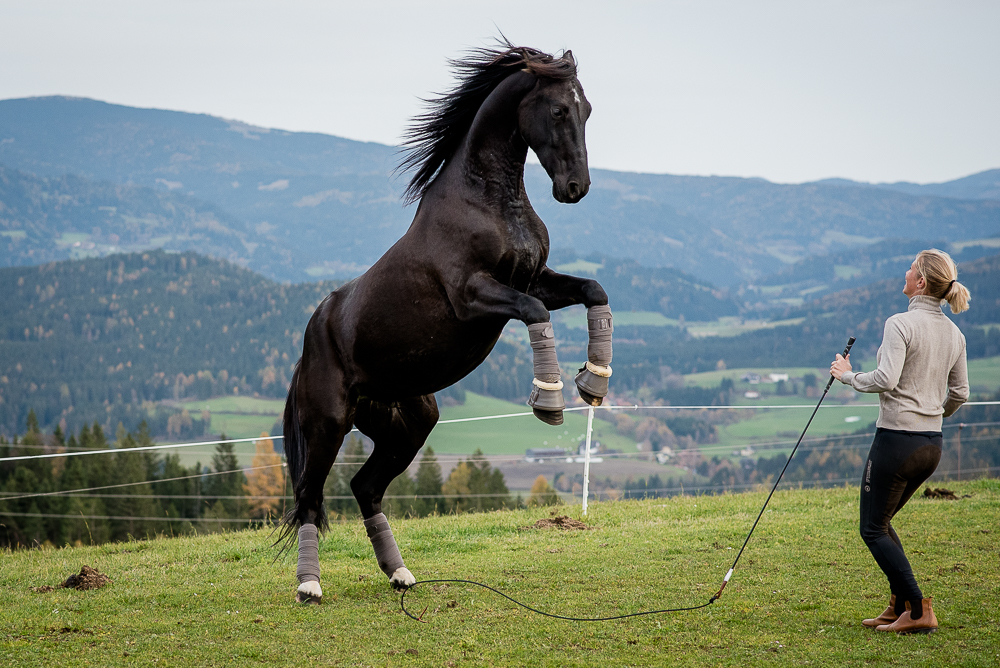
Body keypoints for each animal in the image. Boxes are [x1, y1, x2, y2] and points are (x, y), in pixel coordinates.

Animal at [281, 43, 615, 604]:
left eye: (587, 109)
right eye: (557, 110)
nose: (576, 188)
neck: (486, 201)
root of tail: (308, 347)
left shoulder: (537, 278)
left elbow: (593, 290)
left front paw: (593, 383)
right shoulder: (474, 296)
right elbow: (536, 311)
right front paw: (548, 401)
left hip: (408, 424)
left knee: (366, 488)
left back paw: (399, 574)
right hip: (327, 424)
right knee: (311, 495)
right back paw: (310, 585)